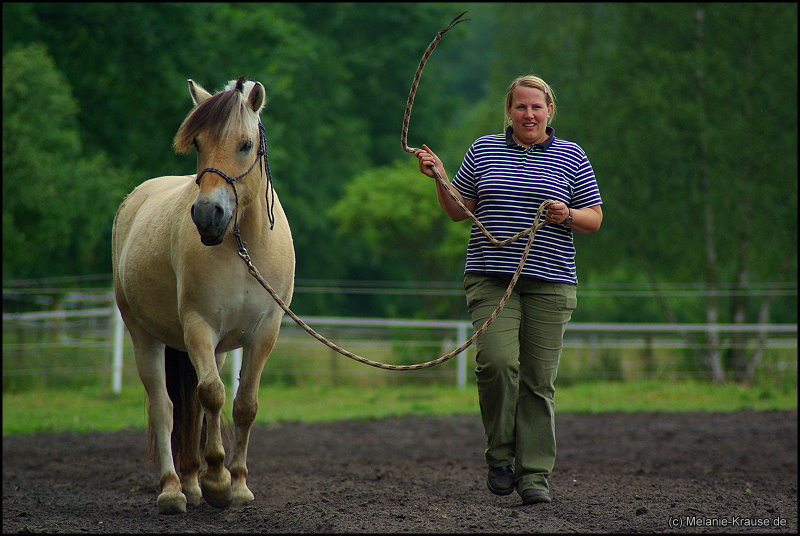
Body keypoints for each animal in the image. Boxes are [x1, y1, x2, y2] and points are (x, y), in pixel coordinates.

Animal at [111, 77, 296, 512]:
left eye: (245, 144)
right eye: (197, 143)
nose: (208, 214)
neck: (243, 245)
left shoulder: (265, 331)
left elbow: (244, 405)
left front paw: (237, 483)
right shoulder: (199, 326)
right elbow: (212, 395)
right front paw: (216, 481)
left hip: (217, 348)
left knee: (192, 411)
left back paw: (192, 482)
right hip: (144, 335)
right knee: (165, 408)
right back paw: (173, 489)